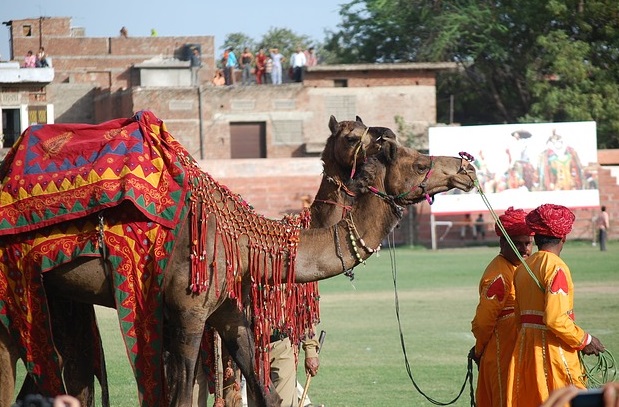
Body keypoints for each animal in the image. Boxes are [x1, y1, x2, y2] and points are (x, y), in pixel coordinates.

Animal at [0, 111, 480, 407]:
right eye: (414, 162)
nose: (465, 166)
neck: (247, 242)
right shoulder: (188, 311)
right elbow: (182, 396)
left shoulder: (230, 312)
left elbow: (265, 391)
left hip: (58, 295)